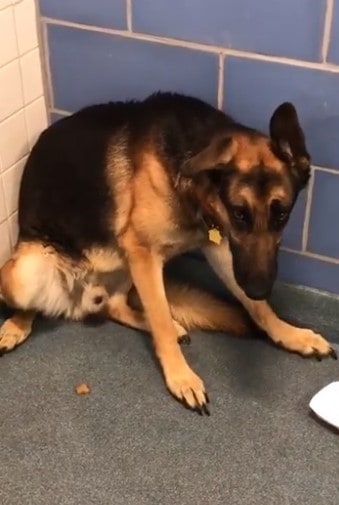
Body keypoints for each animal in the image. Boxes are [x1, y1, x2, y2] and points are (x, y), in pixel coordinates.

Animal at [0, 92, 338, 412]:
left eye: (282, 215)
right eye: (239, 214)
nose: (259, 287)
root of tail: (76, 305)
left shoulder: (218, 248)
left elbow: (259, 309)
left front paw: (290, 334)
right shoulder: (144, 253)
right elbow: (161, 316)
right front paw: (181, 377)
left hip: (124, 268)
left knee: (114, 306)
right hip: (24, 273)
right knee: (32, 303)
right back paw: (16, 325)